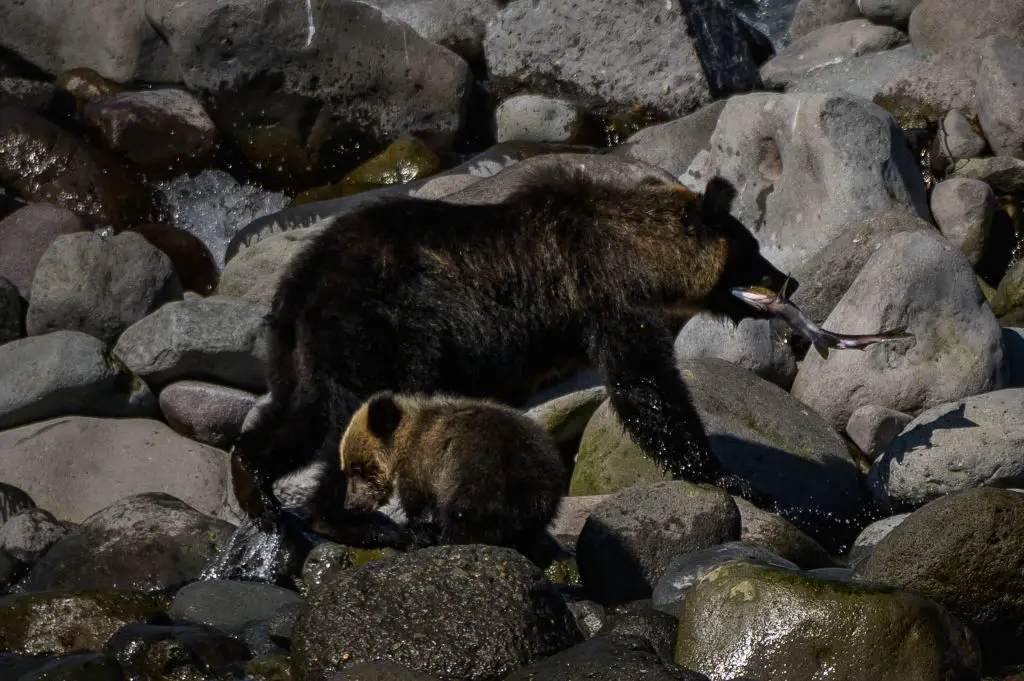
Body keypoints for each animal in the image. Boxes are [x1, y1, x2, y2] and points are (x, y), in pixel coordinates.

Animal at [229, 165, 794, 533]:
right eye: (751, 250)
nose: (787, 279)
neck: (639, 255)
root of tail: (304, 278)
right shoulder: (605, 295)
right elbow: (647, 388)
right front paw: (730, 475)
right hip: (378, 327)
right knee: (350, 417)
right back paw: (337, 513)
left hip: (301, 346)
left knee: (297, 416)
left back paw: (258, 488)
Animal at [333, 390, 568, 561]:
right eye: (347, 470)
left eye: (358, 469)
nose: (349, 505)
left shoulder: (421, 468)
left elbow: (418, 507)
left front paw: (417, 531)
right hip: (539, 490)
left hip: (478, 478)